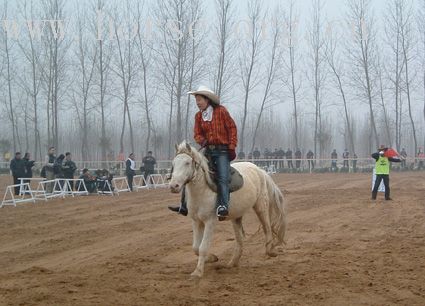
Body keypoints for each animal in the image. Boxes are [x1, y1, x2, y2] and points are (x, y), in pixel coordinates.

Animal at [168, 142, 284, 278]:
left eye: (187, 163)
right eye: (174, 163)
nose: (173, 186)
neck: (203, 190)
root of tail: (259, 170)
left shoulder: (210, 221)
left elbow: (203, 247)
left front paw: (198, 272)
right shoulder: (196, 221)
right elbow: (196, 247)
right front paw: (212, 258)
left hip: (261, 206)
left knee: (267, 228)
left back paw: (270, 251)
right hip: (236, 217)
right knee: (240, 240)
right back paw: (232, 263)